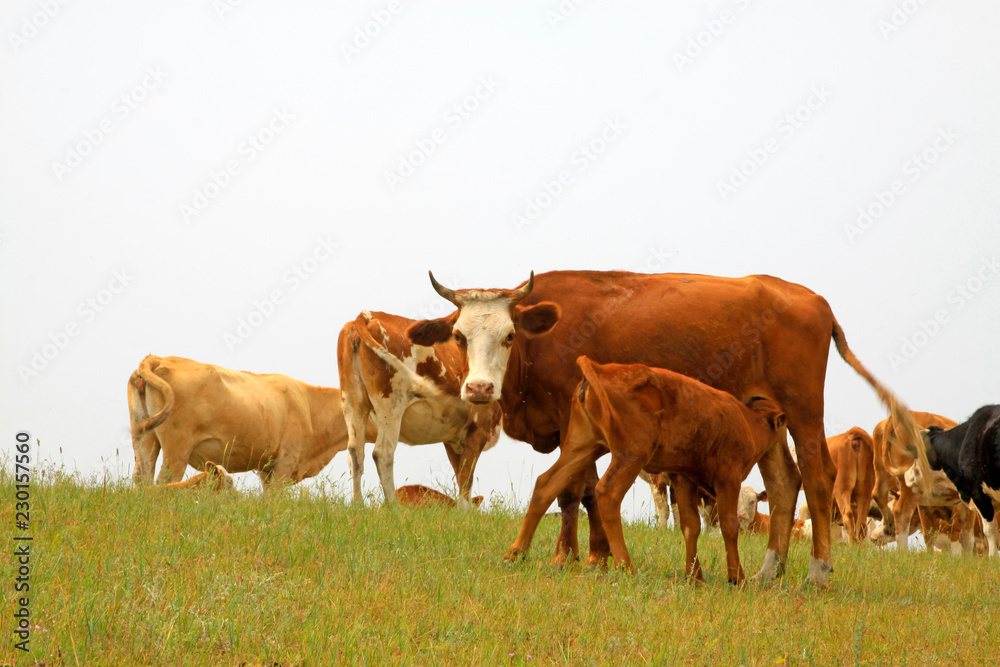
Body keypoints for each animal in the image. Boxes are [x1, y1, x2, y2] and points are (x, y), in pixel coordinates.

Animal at [128, 355, 362, 487]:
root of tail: (159, 358)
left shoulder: (266, 466)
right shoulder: (286, 460)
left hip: (144, 438)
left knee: (142, 477)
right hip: (177, 448)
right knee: (166, 480)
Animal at [337, 312, 502, 507]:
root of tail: (368, 314)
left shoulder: (453, 440)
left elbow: (461, 478)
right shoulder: (479, 428)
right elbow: (466, 480)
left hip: (352, 401)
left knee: (355, 452)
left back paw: (358, 505)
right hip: (391, 403)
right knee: (383, 453)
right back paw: (393, 507)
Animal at [503, 357, 788, 584]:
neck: (746, 421)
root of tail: (602, 368)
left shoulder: (683, 478)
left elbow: (690, 526)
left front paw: (694, 577)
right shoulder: (728, 478)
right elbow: (729, 526)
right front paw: (737, 578)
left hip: (582, 446)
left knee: (547, 483)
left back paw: (516, 552)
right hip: (631, 455)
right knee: (607, 493)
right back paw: (625, 566)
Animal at [872, 411, 974, 553]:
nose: (873, 537)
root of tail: (891, 420)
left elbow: (930, 535)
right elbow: (965, 536)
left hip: (882, 472)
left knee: (878, 495)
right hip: (911, 486)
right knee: (902, 512)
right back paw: (903, 552)